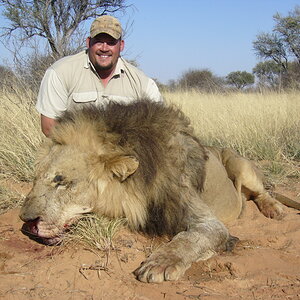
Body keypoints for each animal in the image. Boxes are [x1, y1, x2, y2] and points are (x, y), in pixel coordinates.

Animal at [19, 99, 288, 282]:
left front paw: (161, 263)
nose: (26, 222)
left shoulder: (207, 220)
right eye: (36, 178)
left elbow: (190, 237)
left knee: (262, 192)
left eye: (60, 180)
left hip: (238, 163)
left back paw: (275, 209)